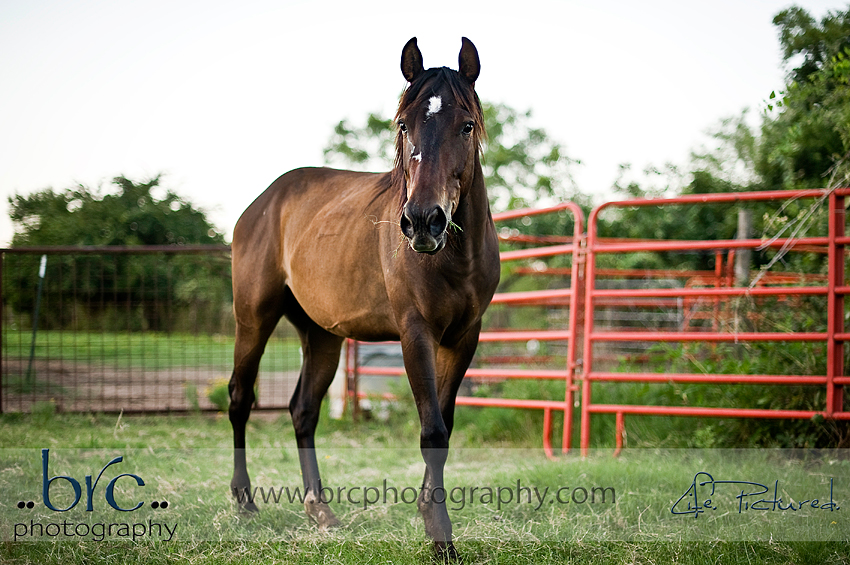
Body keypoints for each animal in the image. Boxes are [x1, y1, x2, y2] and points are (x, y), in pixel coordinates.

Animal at [228, 37, 500, 557]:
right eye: (404, 124)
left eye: (466, 124)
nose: (423, 221)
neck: (454, 257)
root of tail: (263, 202)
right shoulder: (415, 334)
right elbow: (432, 431)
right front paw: (441, 539)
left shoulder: (463, 339)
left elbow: (445, 425)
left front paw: (429, 518)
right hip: (253, 319)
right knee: (239, 398)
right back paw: (245, 503)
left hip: (322, 335)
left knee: (304, 411)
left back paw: (320, 512)